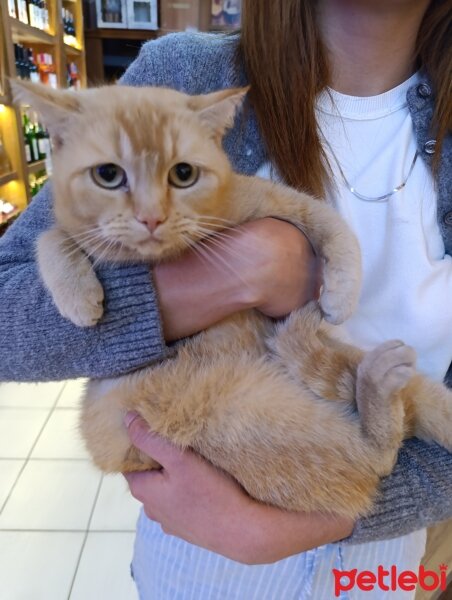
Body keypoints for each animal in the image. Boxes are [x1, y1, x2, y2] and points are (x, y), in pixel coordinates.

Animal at [11, 78, 452, 520]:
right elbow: (50, 239)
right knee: (373, 455)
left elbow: (335, 229)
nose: (151, 217)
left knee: (377, 455)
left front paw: (341, 294)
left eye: (183, 174)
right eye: (108, 175)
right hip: (237, 414)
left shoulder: (284, 201)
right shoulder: (71, 231)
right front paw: (79, 297)